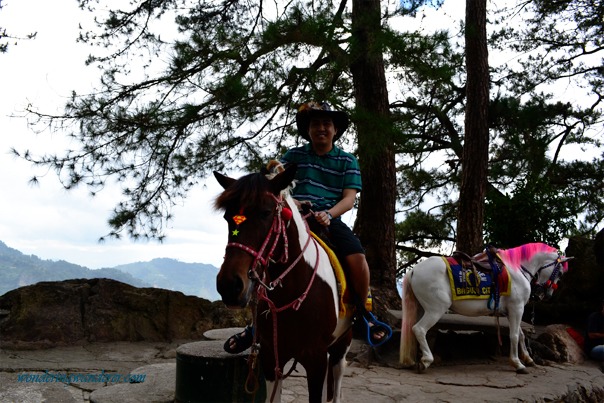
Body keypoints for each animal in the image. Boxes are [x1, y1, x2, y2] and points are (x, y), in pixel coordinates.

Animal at [214, 162, 352, 403]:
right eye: (227, 217)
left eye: (266, 212)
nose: (229, 285)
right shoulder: (271, 357)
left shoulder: (316, 360)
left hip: (341, 345)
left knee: (337, 379)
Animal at [402, 241, 572, 374]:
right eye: (560, 272)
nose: (546, 294)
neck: (517, 269)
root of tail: (414, 270)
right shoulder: (517, 308)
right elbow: (514, 336)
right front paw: (518, 364)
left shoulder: (511, 311)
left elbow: (521, 334)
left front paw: (528, 359)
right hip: (436, 309)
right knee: (419, 329)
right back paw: (426, 360)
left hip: (422, 308)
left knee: (414, 329)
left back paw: (415, 358)